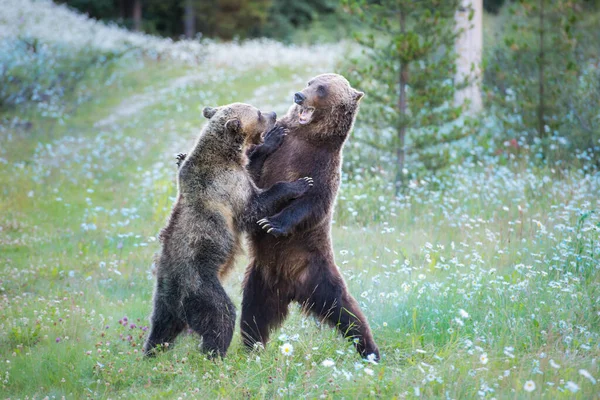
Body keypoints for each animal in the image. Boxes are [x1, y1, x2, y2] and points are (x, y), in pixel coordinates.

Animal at [144, 102, 314, 356]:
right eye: (257, 113)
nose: (273, 114)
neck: (225, 153)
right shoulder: (227, 185)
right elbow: (254, 207)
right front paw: (301, 183)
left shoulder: (237, 172)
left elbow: (253, 168)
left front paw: (272, 139)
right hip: (200, 285)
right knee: (221, 316)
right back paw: (214, 354)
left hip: (163, 299)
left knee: (160, 327)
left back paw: (150, 353)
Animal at [240, 73, 378, 360]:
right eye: (310, 81)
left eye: (322, 88)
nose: (299, 96)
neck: (307, 139)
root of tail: (289, 288)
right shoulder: (279, 158)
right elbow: (254, 175)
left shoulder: (324, 168)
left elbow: (313, 203)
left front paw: (272, 223)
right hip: (259, 279)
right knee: (252, 315)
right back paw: (250, 348)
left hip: (318, 273)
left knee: (346, 310)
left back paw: (370, 350)